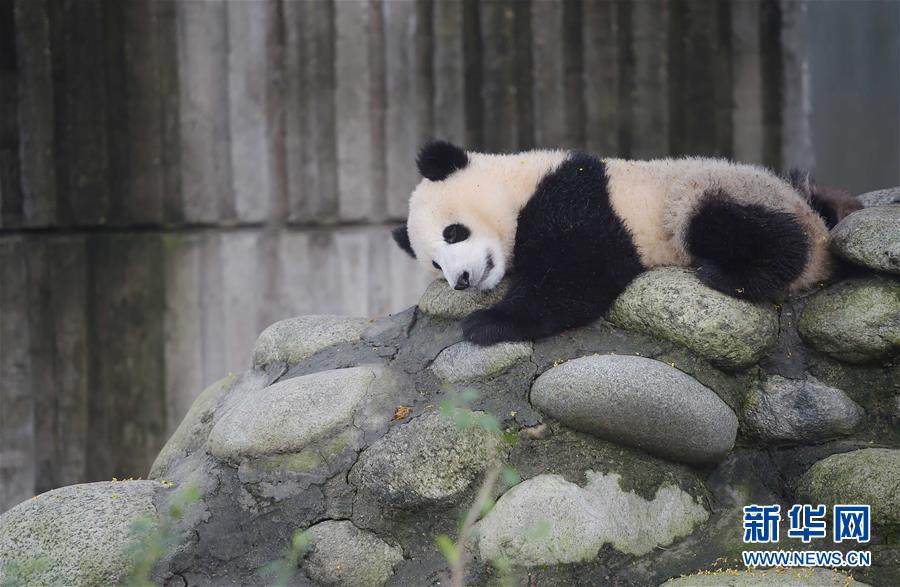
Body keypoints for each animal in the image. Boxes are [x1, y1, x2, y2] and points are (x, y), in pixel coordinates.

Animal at [392, 140, 861, 346]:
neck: (517, 182)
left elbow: (575, 276)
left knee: (746, 231)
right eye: (435, 265)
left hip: (711, 192)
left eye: (454, 232)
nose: (462, 280)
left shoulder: (579, 199)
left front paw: (488, 323)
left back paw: (729, 274)